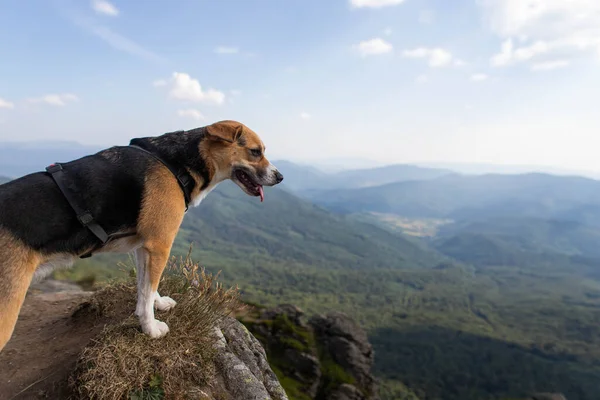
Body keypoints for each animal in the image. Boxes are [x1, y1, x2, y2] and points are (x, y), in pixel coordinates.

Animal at [0, 120, 284, 352]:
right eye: (256, 152)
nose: (280, 177)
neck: (176, 163)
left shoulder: (143, 246)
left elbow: (146, 286)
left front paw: (156, 305)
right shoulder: (160, 245)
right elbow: (147, 290)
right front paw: (151, 328)